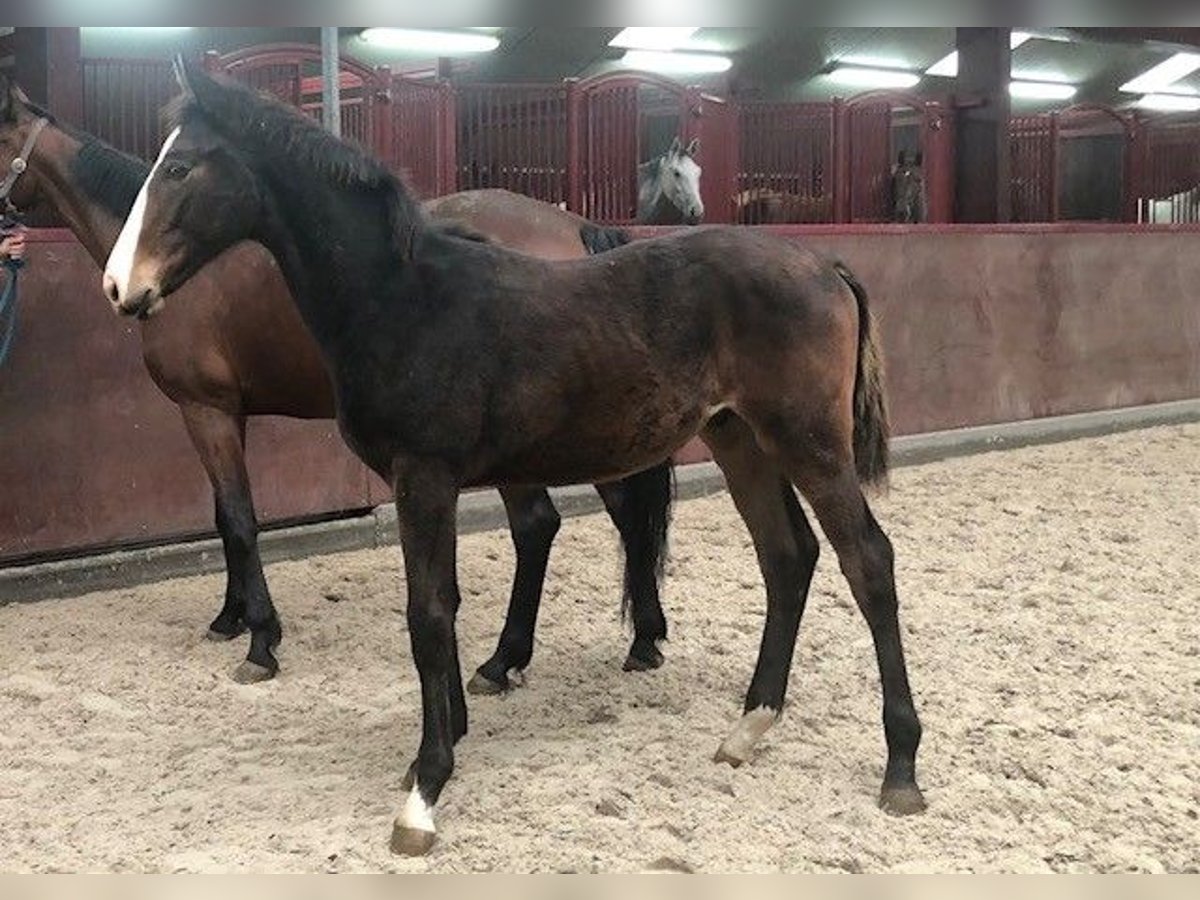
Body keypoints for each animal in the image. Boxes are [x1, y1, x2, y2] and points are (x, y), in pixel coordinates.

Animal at [0, 79, 676, 696]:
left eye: (179, 168)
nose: (121, 287)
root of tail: (577, 229)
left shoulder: (205, 411)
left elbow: (240, 520)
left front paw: (261, 641)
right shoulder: (229, 415)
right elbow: (223, 515)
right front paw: (229, 617)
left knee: (540, 525)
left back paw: (503, 661)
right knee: (623, 511)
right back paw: (643, 639)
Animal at [105, 60, 926, 854]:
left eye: (179, 166)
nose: (120, 286)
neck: (403, 299)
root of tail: (825, 265)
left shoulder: (424, 477)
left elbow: (428, 614)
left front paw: (425, 789)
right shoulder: (426, 482)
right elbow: (445, 604)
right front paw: (449, 738)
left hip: (809, 442)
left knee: (867, 562)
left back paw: (900, 768)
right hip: (740, 440)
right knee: (787, 557)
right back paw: (750, 726)